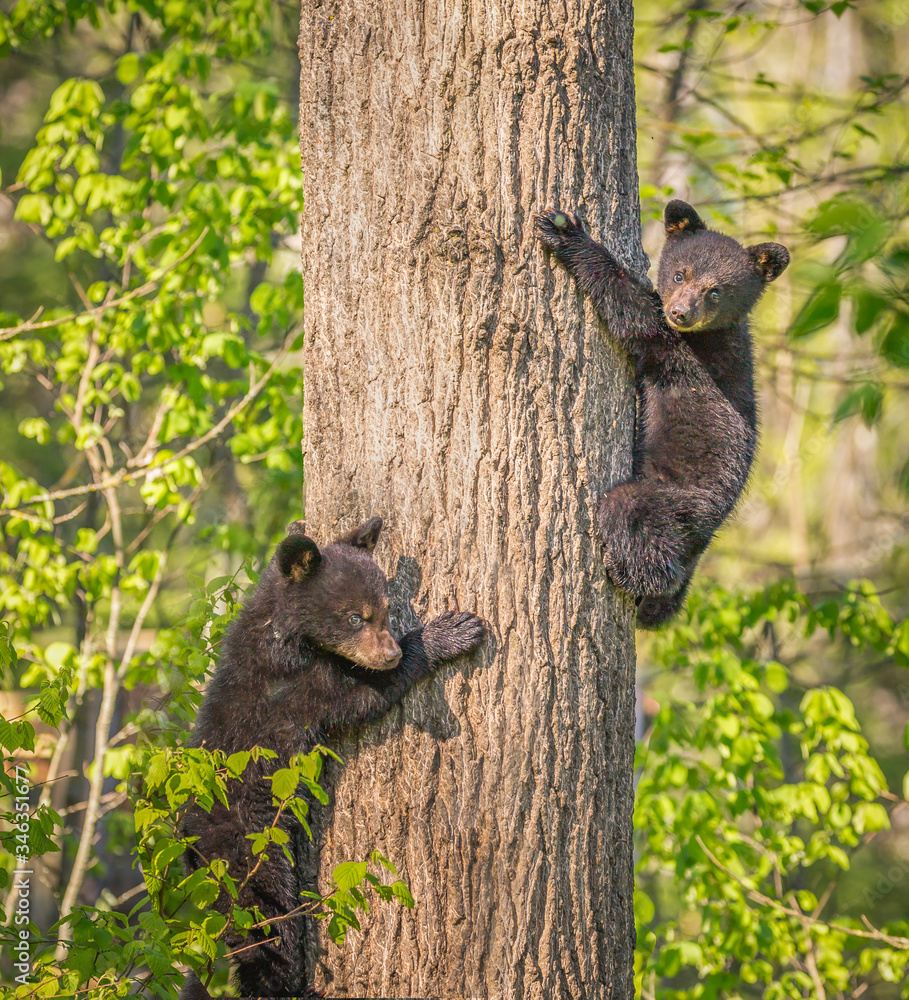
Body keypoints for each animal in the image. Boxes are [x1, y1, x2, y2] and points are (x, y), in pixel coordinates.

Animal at [178, 516, 486, 999]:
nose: (390, 652)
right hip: (248, 854)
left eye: (384, 610)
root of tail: (189, 842)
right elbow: (363, 693)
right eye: (355, 616)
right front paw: (449, 632)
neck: (285, 634)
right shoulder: (297, 687)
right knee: (267, 931)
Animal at [534, 201, 789, 627]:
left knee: (629, 516)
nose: (681, 311)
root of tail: (705, 538)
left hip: (672, 503)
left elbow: (633, 312)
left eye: (716, 291)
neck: (706, 334)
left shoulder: (686, 354)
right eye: (679, 273)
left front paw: (567, 233)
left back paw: (627, 574)